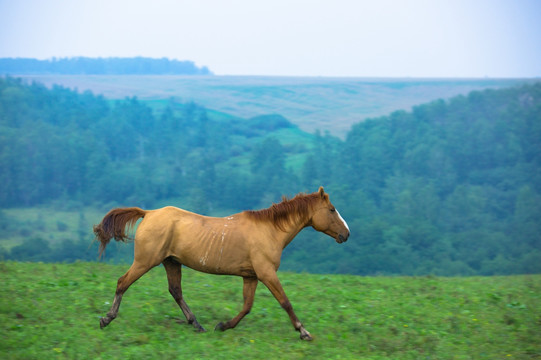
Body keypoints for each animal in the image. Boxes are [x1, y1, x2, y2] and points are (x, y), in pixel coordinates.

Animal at [94, 187, 350, 338]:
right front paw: (303, 331)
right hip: (146, 261)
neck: (270, 230)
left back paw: (196, 324)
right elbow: (285, 302)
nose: (346, 234)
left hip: (171, 262)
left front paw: (223, 325)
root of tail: (149, 213)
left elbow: (247, 306)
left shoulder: (251, 275)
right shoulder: (266, 272)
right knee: (122, 283)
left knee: (175, 291)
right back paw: (106, 319)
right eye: (332, 209)